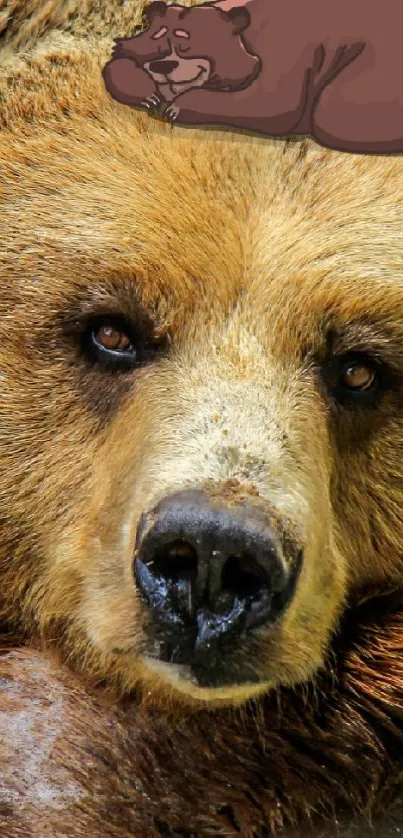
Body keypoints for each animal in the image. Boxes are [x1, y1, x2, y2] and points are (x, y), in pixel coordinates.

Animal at [103, 0, 403, 156]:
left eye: (185, 45)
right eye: (158, 44)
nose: (163, 66)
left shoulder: (289, 56)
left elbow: (268, 104)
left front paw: (178, 107)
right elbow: (116, 63)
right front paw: (148, 94)